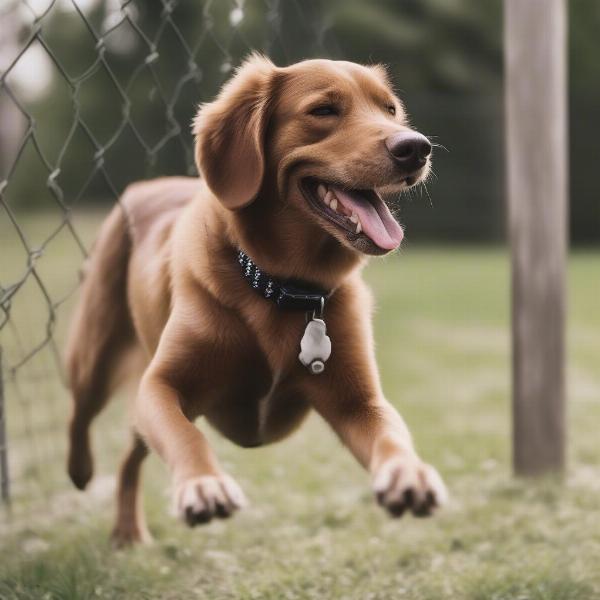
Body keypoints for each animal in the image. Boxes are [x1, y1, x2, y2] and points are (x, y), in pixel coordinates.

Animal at [67, 55, 446, 544]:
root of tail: (148, 185)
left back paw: (128, 532)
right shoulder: (160, 385)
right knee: (81, 411)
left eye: (390, 110)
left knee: (130, 456)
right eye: (324, 110)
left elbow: (391, 436)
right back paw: (80, 471)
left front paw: (407, 474)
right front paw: (204, 485)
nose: (416, 147)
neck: (285, 287)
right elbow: (186, 437)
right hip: (94, 350)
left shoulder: (359, 402)